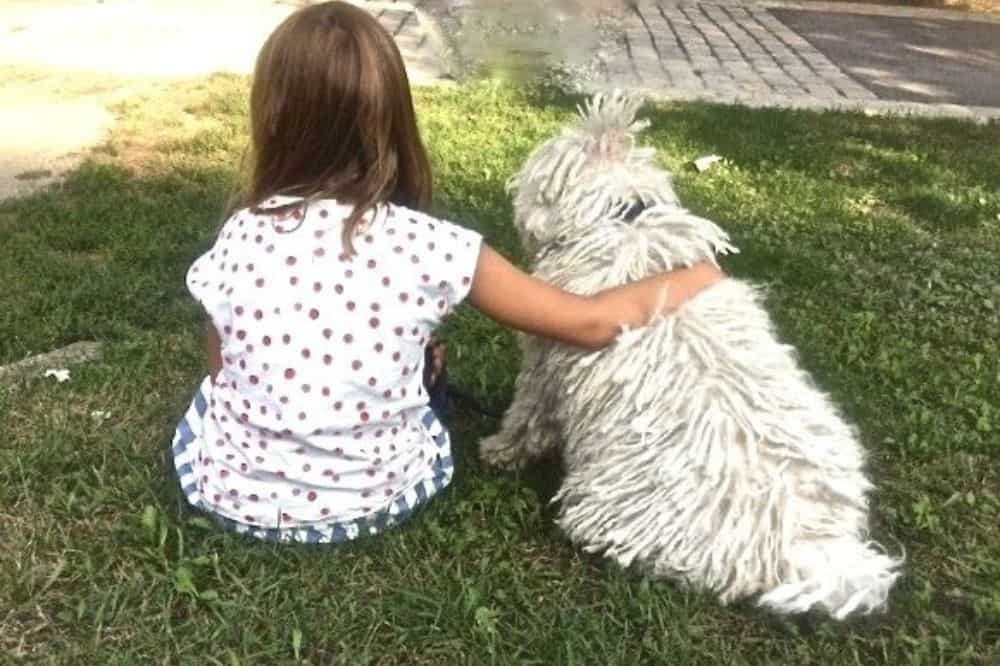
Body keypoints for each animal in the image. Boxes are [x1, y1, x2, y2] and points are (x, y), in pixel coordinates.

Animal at [480, 89, 904, 616]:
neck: (625, 219)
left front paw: (499, 449)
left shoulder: (545, 361)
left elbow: (527, 416)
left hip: (611, 508)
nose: (513, 186)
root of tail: (797, 546)